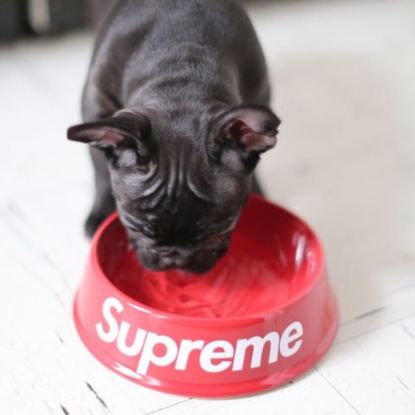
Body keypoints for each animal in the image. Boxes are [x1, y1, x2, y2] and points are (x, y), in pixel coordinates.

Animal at [68, 0, 282, 274]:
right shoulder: (96, 103)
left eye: (218, 232)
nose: (174, 258)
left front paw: (256, 189)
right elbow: (101, 170)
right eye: (134, 227)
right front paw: (101, 212)